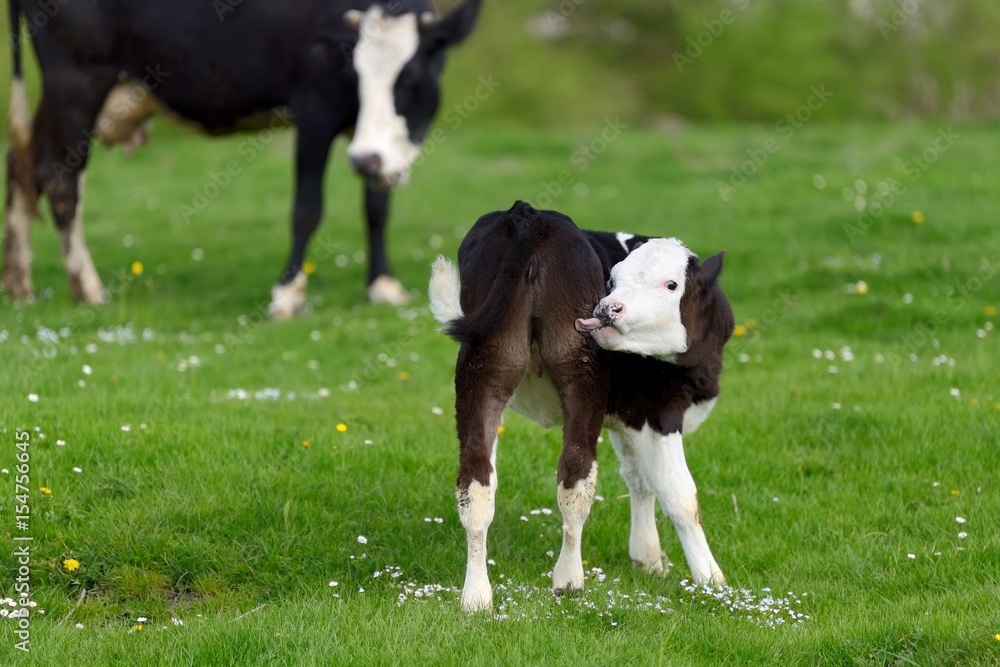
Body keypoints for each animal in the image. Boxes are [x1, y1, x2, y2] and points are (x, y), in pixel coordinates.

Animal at [1, 0, 482, 318]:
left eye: (411, 78)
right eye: (357, 76)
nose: (366, 160)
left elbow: (376, 207)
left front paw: (382, 285)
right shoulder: (314, 109)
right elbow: (307, 208)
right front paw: (288, 293)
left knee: (25, 166)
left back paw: (20, 284)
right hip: (76, 79)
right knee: (60, 177)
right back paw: (88, 288)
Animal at [430, 202, 736, 616]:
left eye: (671, 284)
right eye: (613, 280)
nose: (608, 307)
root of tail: (529, 214)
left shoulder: (628, 416)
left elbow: (640, 479)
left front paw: (648, 559)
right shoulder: (658, 411)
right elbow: (679, 495)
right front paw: (711, 579)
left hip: (485, 364)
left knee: (476, 481)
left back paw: (476, 597)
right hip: (581, 373)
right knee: (576, 475)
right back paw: (569, 581)